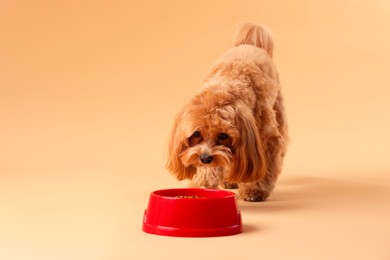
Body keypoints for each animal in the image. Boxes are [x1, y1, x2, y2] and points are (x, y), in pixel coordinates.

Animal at [166, 23, 288, 201]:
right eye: (196, 134)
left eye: (223, 135)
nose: (205, 158)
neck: (228, 81)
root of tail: (250, 44)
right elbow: (209, 169)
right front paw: (203, 186)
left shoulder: (266, 140)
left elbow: (262, 169)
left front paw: (255, 190)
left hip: (278, 110)